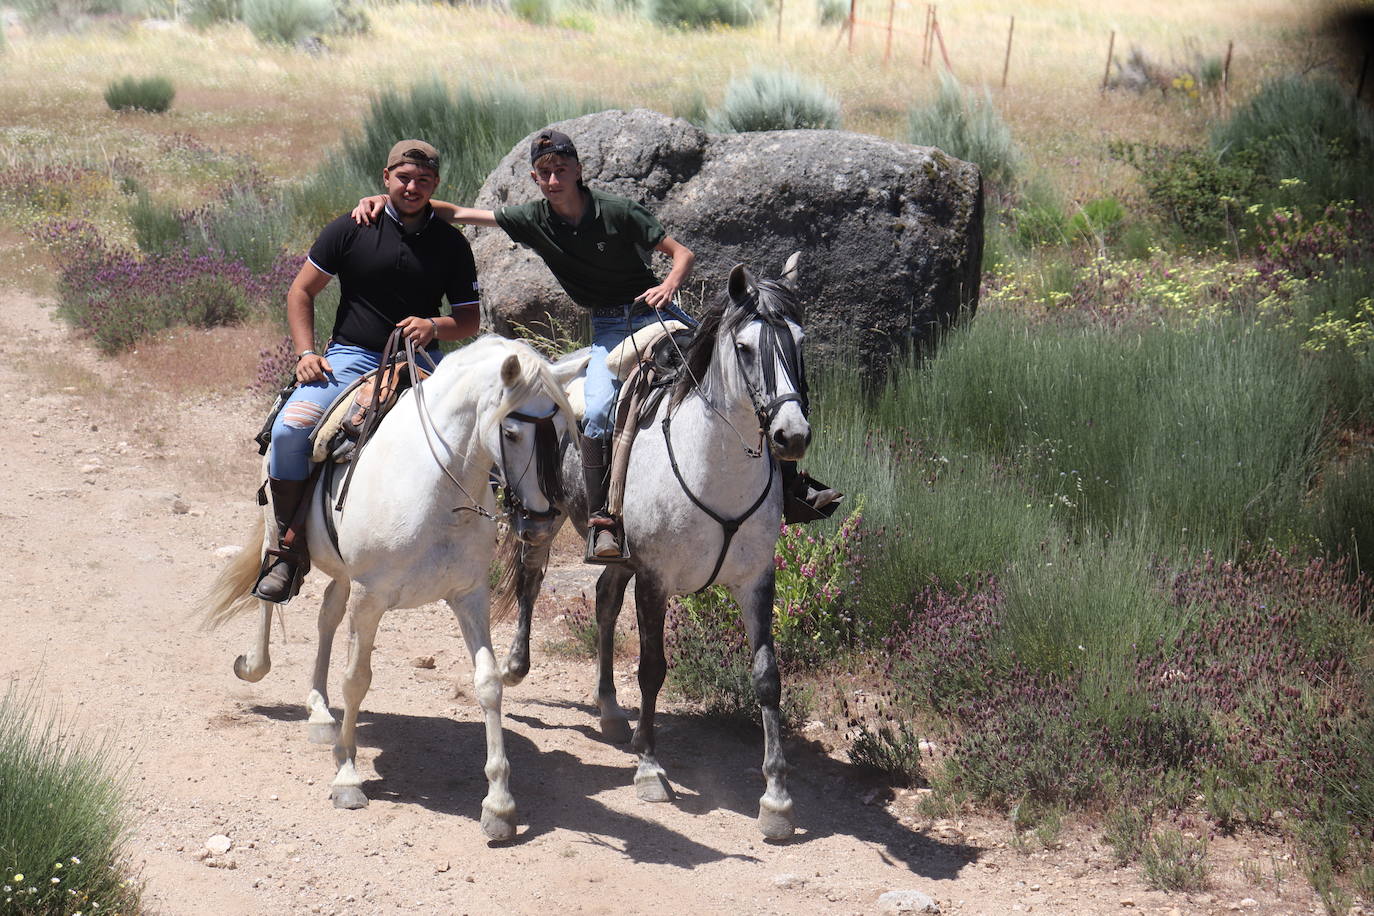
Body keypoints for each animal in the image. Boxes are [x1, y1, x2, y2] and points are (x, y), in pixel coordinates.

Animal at [203, 335, 579, 840]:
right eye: (513, 431)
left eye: (561, 427)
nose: (540, 523)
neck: (437, 489)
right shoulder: (371, 597)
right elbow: (356, 680)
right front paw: (347, 778)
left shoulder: (468, 597)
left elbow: (488, 683)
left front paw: (499, 805)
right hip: (276, 525)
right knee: (268, 589)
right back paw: (256, 663)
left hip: (344, 575)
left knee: (326, 616)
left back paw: (319, 712)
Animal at [500, 254, 807, 840]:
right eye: (744, 347)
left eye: (799, 340)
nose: (792, 435)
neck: (715, 468)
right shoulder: (656, 579)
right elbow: (651, 668)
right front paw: (649, 770)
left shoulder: (756, 579)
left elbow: (767, 677)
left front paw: (778, 797)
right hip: (542, 515)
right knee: (530, 577)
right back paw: (515, 666)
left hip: (619, 555)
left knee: (602, 597)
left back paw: (610, 710)